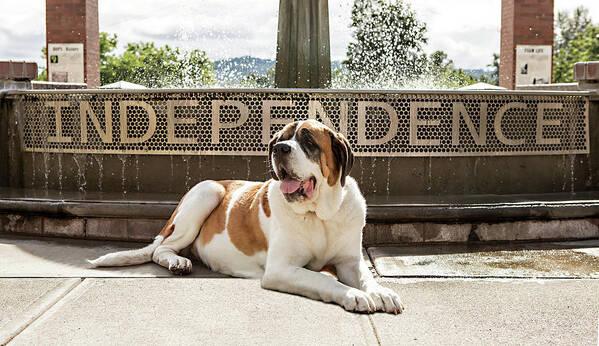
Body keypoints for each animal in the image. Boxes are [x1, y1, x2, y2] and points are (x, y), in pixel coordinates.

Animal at [90, 119, 408, 314]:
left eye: (308, 141)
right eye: (280, 139)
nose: (280, 149)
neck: (320, 215)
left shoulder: (349, 261)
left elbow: (364, 275)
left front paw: (379, 292)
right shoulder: (281, 270)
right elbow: (325, 280)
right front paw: (354, 295)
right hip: (206, 192)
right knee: (161, 249)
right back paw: (178, 262)